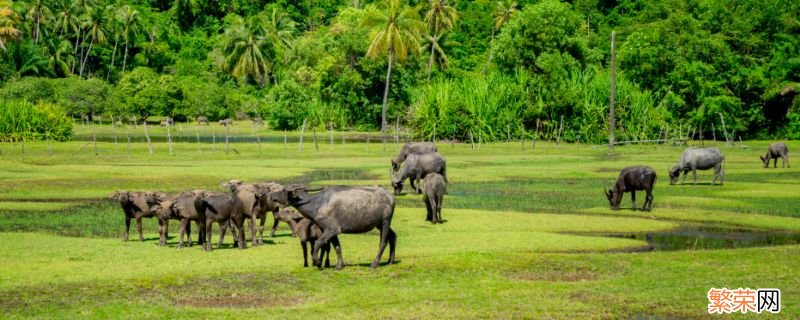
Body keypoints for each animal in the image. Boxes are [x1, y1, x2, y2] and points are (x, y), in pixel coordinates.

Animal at [270, 184, 398, 268]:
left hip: (385, 221)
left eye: (284, 190)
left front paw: (318, 262)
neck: (317, 204)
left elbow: (318, 243)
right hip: (379, 224)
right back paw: (390, 261)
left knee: (383, 241)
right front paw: (339, 265)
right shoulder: (331, 231)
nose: (271, 195)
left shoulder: (331, 229)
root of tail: (391, 197)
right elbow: (337, 247)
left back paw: (375, 263)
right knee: (393, 236)